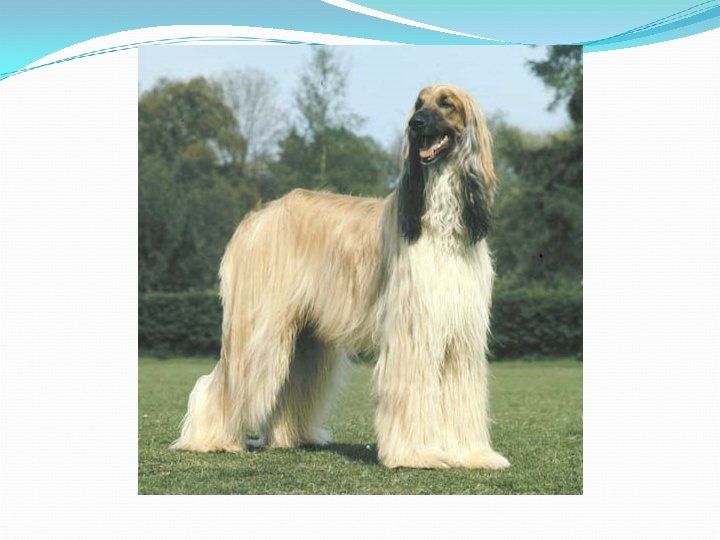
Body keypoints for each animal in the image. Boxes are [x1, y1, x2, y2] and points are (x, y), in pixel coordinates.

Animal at [171, 84, 510, 469]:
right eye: (418, 104)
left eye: (445, 103)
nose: (415, 125)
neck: (440, 224)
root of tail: (257, 217)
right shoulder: (413, 329)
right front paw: (417, 453)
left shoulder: (461, 335)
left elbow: (461, 393)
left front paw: (473, 455)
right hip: (259, 324)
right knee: (227, 380)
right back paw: (210, 439)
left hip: (305, 334)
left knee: (293, 380)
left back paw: (288, 438)